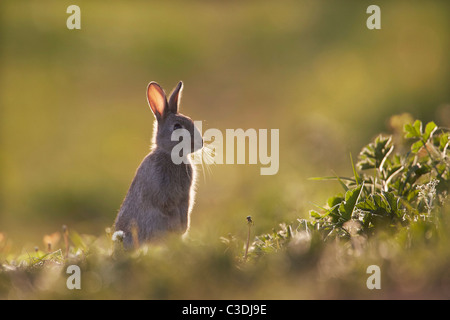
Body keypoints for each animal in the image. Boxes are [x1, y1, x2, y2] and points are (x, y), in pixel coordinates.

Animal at [113, 81, 203, 249]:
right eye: (177, 127)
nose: (201, 143)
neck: (170, 155)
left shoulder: (186, 195)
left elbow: (185, 208)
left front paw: (183, 228)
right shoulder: (163, 194)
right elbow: (168, 205)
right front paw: (180, 228)